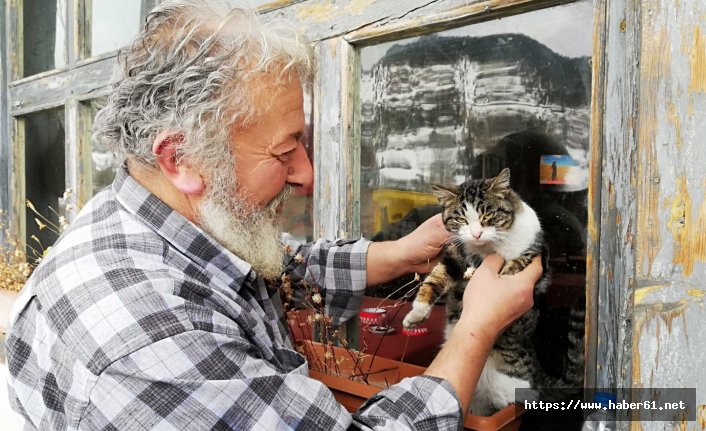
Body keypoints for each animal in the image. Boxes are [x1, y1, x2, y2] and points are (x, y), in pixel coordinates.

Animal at [402, 168, 584, 416]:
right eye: (460, 219)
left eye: (488, 215)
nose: (476, 234)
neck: (486, 251)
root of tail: (539, 378)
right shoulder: (455, 254)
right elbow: (435, 279)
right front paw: (416, 314)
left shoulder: (535, 255)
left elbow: (514, 266)